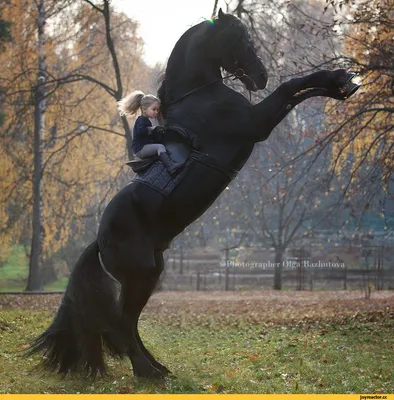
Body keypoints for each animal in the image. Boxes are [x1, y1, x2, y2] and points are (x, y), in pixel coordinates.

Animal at [28, 8, 360, 378]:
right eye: (241, 38)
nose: (260, 76)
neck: (202, 97)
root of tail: (99, 240)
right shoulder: (256, 123)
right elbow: (292, 87)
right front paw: (339, 79)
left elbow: (296, 92)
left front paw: (342, 83)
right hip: (140, 274)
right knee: (123, 322)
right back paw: (148, 372)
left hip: (151, 273)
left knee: (131, 323)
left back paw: (159, 368)